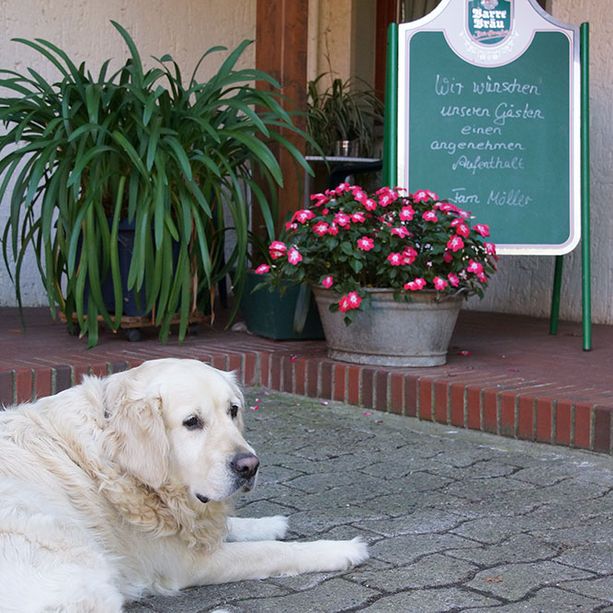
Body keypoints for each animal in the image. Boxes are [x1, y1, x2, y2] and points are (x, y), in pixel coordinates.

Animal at [0, 356, 368, 608]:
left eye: (233, 410)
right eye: (192, 422)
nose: (249, 466)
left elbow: (227, 526)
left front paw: (270, 522)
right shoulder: (186, 563)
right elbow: (271, 552)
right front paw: (342, 548)